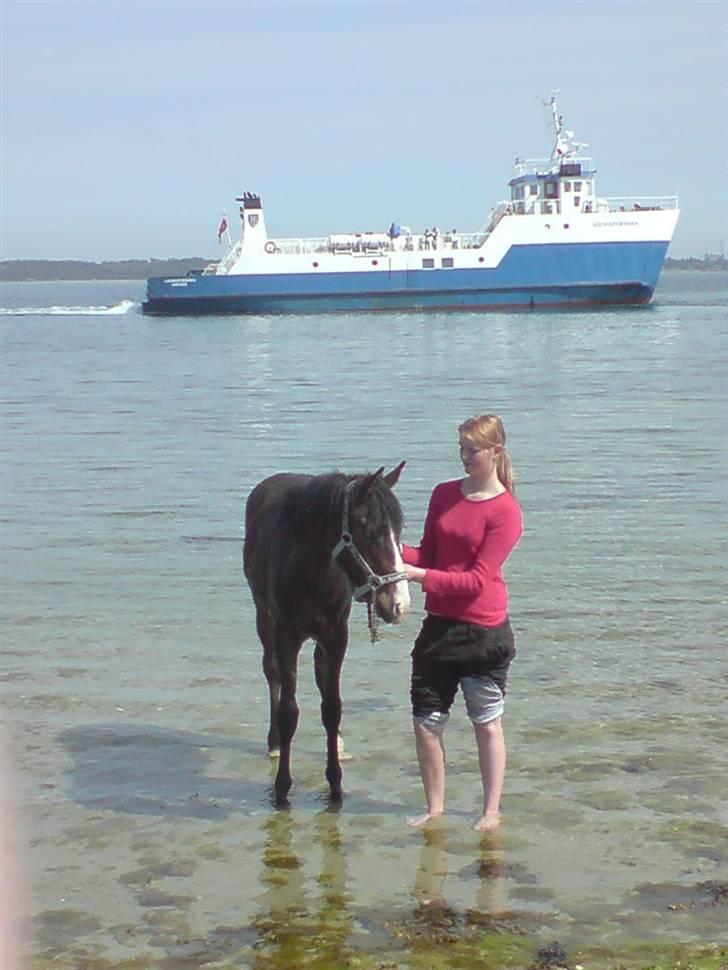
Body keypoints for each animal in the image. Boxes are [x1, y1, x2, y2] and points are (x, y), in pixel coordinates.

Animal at [242, 462, 406, 800]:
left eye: (400, 531)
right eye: (371, 533)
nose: (399, 604)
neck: (313, 569)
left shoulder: (336, 636)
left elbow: (332, 707)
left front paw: (336, 785)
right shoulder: (286, 636)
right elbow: (288, 711)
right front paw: (282, 788)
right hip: (264, 619)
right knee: (272, 674)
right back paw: (274, 743)